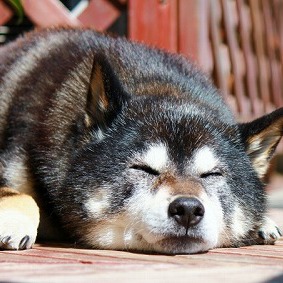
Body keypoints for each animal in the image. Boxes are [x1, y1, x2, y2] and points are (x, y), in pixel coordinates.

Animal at [0, 28, 282, 255]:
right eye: (144, 169)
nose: (188, 209)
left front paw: (262, 222)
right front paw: (13, 220)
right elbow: (20, 194)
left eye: (212, 174)